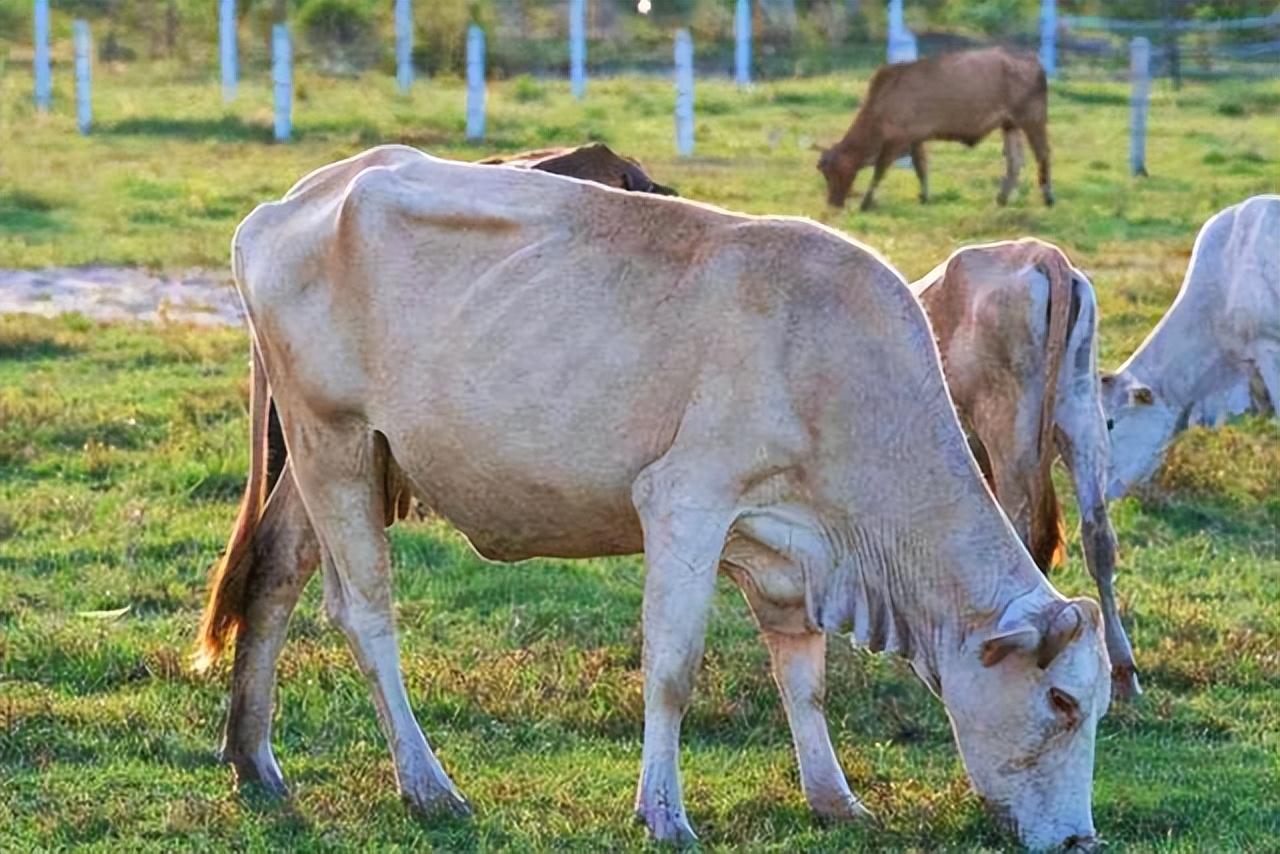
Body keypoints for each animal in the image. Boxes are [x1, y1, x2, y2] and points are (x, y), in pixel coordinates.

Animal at [197, 145, 1111, 850]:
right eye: (1062, 702)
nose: (1079, 840)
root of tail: (303, 195)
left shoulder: (786, 547)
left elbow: (804, 675)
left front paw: (835, 798)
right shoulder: (685, 503)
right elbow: (673, 669)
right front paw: (664, 813)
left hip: (329, 455)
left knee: (274, 575)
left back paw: (256, 762)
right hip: (336, 440)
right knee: (364, 611)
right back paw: (428, 786)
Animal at [819, 48, 1049, 212]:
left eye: (831, 172)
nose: (832, 203)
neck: (883, 102)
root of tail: (1032, 60)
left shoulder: (896, 141)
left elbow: (880, 171)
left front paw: (866, 203)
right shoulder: (915, 140)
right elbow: (920, 168)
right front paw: (924, 197)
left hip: (1032, 120)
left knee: (1043, 154)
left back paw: (1048, 197)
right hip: (1010, 125)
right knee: (1014, 162)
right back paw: (1001, 199)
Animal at [911, 239, 1141, 701]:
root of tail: (1036, 252)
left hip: (1008, 430)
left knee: (1018, 532)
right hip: (1084, 422)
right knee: (1098, 537)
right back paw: (1123, 669)